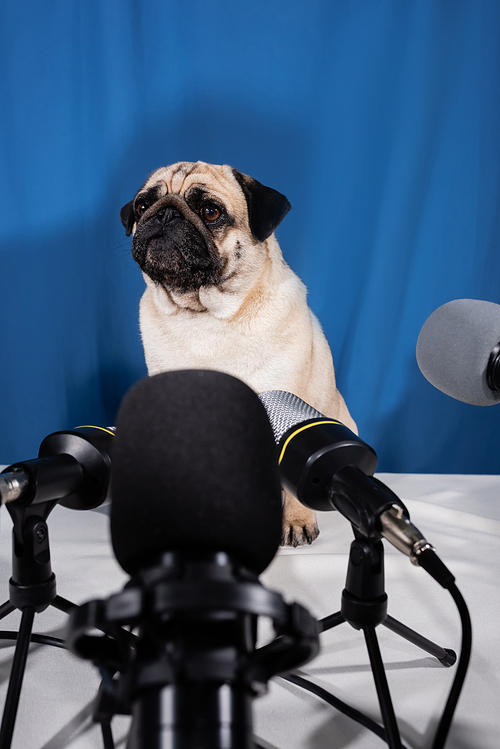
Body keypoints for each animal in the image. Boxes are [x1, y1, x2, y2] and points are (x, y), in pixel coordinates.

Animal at [120, 159, 356, 544]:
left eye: (210, 211)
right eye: (142, 206)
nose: (165, 214)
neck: (205, 314)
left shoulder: (288, 407)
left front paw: (295, 521)